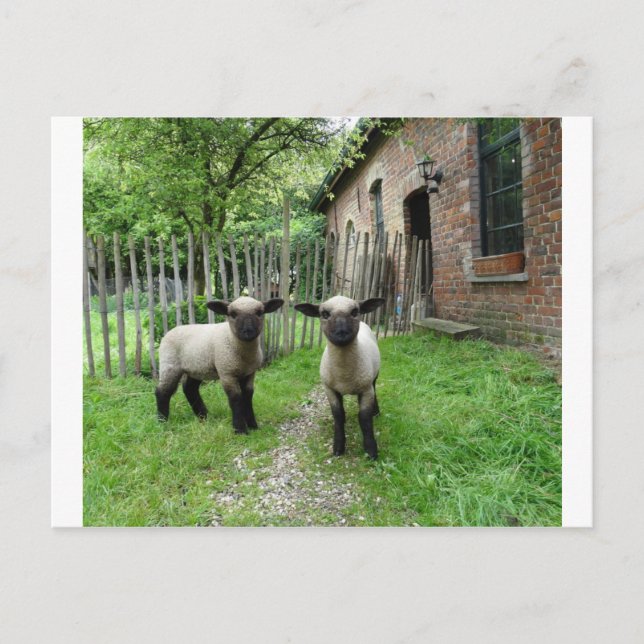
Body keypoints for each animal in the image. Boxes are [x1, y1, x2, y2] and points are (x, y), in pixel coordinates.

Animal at [155, 296, 284, 433]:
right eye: (232, 314)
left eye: (260, 313)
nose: (248, 332)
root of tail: (170, 331)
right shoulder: (227, 373)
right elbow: (235, 398)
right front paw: (240, 429)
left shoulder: (250, 373)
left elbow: (248, 396)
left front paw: (253, 425)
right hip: (170, 364)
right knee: (162, 391)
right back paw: (162, 421)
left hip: (196, 368)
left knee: (189, 388)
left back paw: (203, 416)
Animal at [295, 295, 385, 459]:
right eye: (324, 314)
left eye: (355, 311)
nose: (342, 333)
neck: (345, 374)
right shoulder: (330, 389)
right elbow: (338, 416)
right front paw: (338, 447)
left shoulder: (366, 389)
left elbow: (364, 419)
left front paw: (371, 450)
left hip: (373, 377)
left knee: (375, 388)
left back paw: (376, 411)